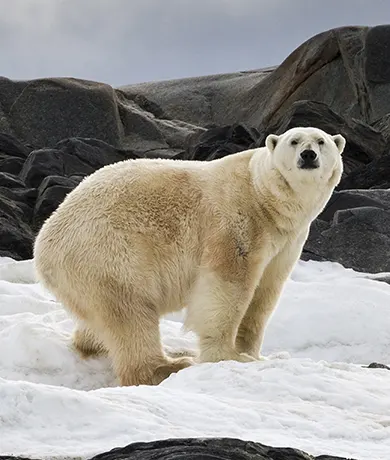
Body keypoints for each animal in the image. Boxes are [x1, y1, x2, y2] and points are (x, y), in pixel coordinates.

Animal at [32, 126, 344, 384]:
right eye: (294, 141)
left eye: (321, 141)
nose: (308, 155)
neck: (264, 196)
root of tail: (44, 241)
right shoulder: (238, 220)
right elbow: (227, 285)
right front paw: (227, 355)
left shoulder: (286, 240)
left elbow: (265, 293)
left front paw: (252, 354)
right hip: (109, 253)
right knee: (130, 313)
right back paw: (167, 366)